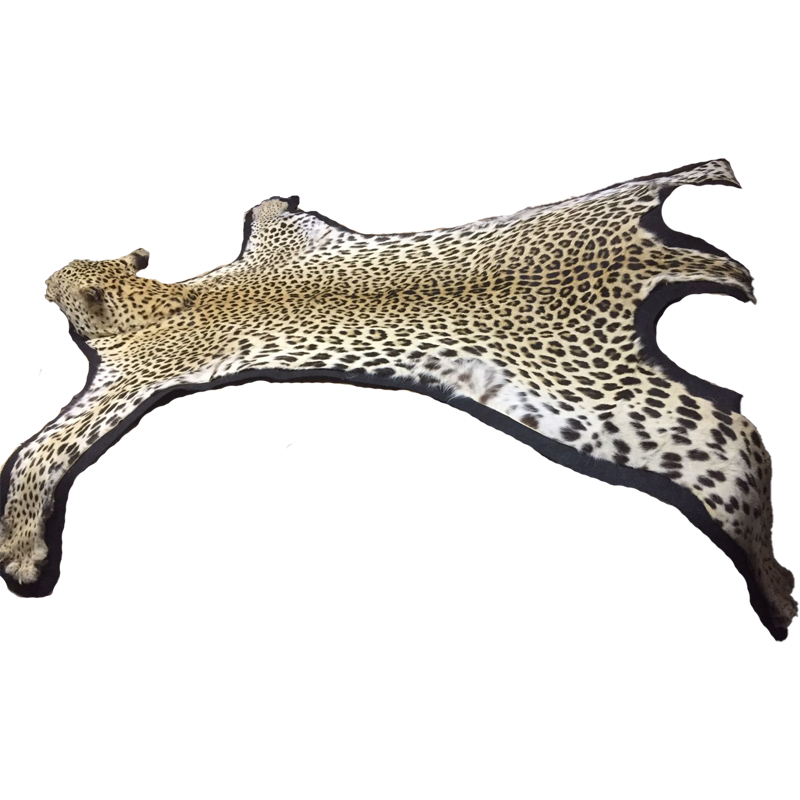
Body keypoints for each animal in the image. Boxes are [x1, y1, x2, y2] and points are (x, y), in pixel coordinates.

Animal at [0, 160, 797, 629]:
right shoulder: (290, 238)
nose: (44, 283)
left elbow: (35, 456)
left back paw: (780, 591)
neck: (163, 298)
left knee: (745, 453)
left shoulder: (129, 384)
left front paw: (21, 553)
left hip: (643, 419)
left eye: (62, 282)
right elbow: (279, 210)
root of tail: (641, 258)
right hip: (610, 218)